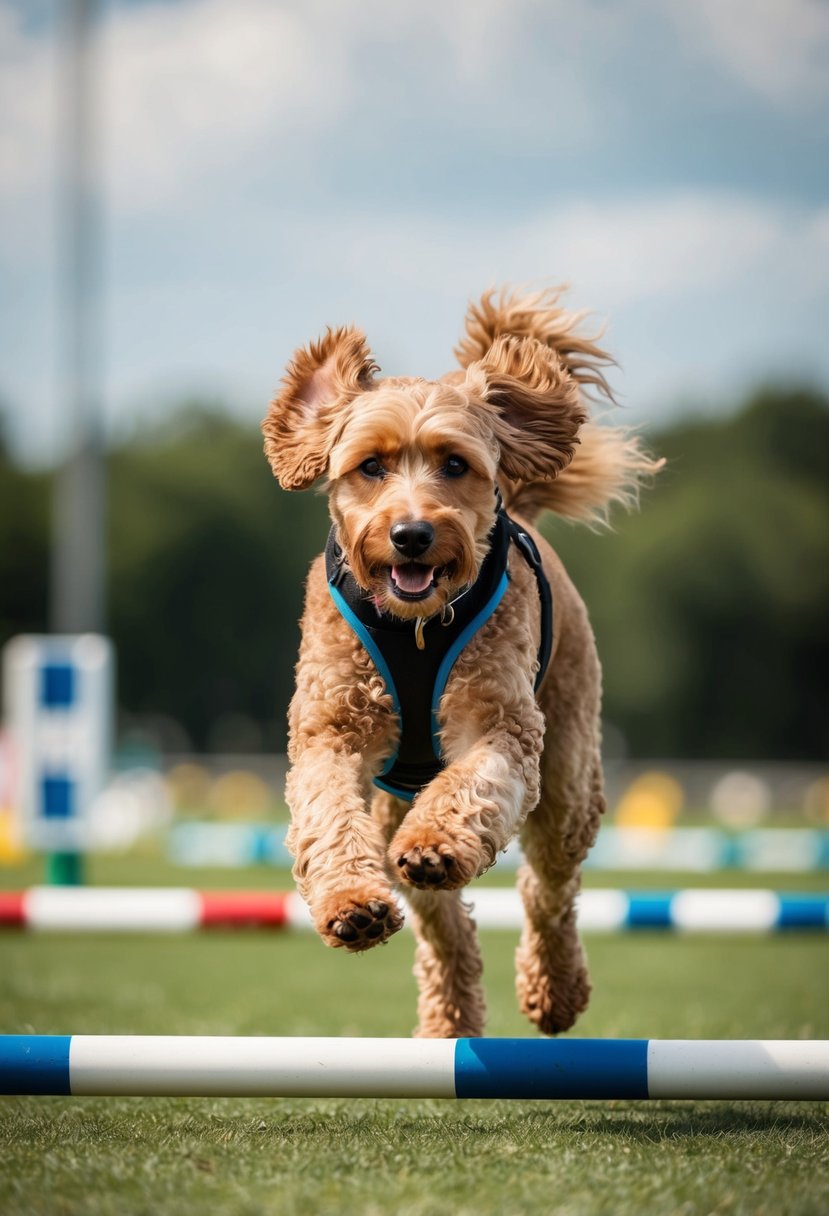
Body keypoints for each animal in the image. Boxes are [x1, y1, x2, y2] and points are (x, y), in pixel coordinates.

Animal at [261, 284, 656, 1036]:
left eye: (454, 464)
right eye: (371, 465)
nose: (412, 533)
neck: (415, 626)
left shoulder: (499, 721)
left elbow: (471, 788)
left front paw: (439, 843)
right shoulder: (331, 730)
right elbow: (328, 817)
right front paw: (350, 906)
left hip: (566, 780)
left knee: (547, 891)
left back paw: (552, 989)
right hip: (394, 807)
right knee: (445, 928)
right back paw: (448, 1018)